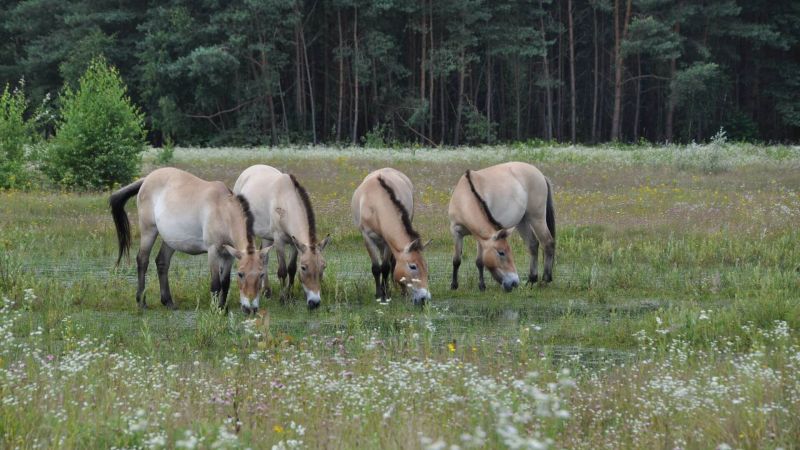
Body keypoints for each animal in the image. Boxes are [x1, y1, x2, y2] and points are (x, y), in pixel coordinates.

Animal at [109, 167, 272, 314]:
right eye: (241, 274)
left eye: (261, 274)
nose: (250, 309)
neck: (224, 211)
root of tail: (146, 179)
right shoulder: (213, 251)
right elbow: (216, 284)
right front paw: (215, 310)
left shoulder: (228, 255)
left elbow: (225, 283)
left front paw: (222, 309)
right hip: (149, 231)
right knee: (142, 260)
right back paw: (141, 301)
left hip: (171, 240)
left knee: (162, 262)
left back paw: (168, 302)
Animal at [231, 165, 332, 310]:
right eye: (304, 267)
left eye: (323, 267)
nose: (315, 302)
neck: (286, 202)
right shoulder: (279, 241)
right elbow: (283, 271)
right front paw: (283, 299)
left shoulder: (294, 243)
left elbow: (291, 269)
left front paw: (290, 296)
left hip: (267, 237)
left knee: (265, 259)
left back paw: (267, 291)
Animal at [352, 169, 432, 306]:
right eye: (413, 266)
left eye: (425, 266)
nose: (424, 298)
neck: (375, 203)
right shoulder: (367, 238)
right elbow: (376, 268)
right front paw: (379, 295)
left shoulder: (387, 242)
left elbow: (386, 267)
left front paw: (385, 293)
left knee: (392, 263)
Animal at [446, 161, 552, 292]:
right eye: (501, 253)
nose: (514, 282)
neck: (464, 197)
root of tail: (541, 175)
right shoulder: (456, 232)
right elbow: (456, 260)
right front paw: (454, 285)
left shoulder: (480, 237)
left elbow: (479, 262)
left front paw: (482, 286)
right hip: (523, 221)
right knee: (533, 245)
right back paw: (531, 280)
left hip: (537, 218)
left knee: (547, 243)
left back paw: (545, 279)